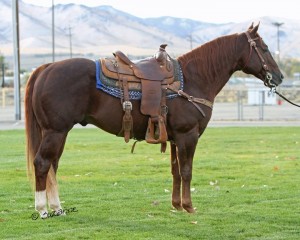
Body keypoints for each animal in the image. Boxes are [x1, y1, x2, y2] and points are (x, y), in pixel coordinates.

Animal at [25, 23, 284, 218]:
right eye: (264, 47)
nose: (279, 77)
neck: (194, 78)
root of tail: (46, 68)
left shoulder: (175, 138)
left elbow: (176, 171)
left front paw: (177, 205)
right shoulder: (188, 135)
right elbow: (187, 171)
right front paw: (189, 206)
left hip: (58, 133)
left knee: (53, 166)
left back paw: (57, 208)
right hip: (55, 132)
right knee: (42, 163)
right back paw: (42, 209)